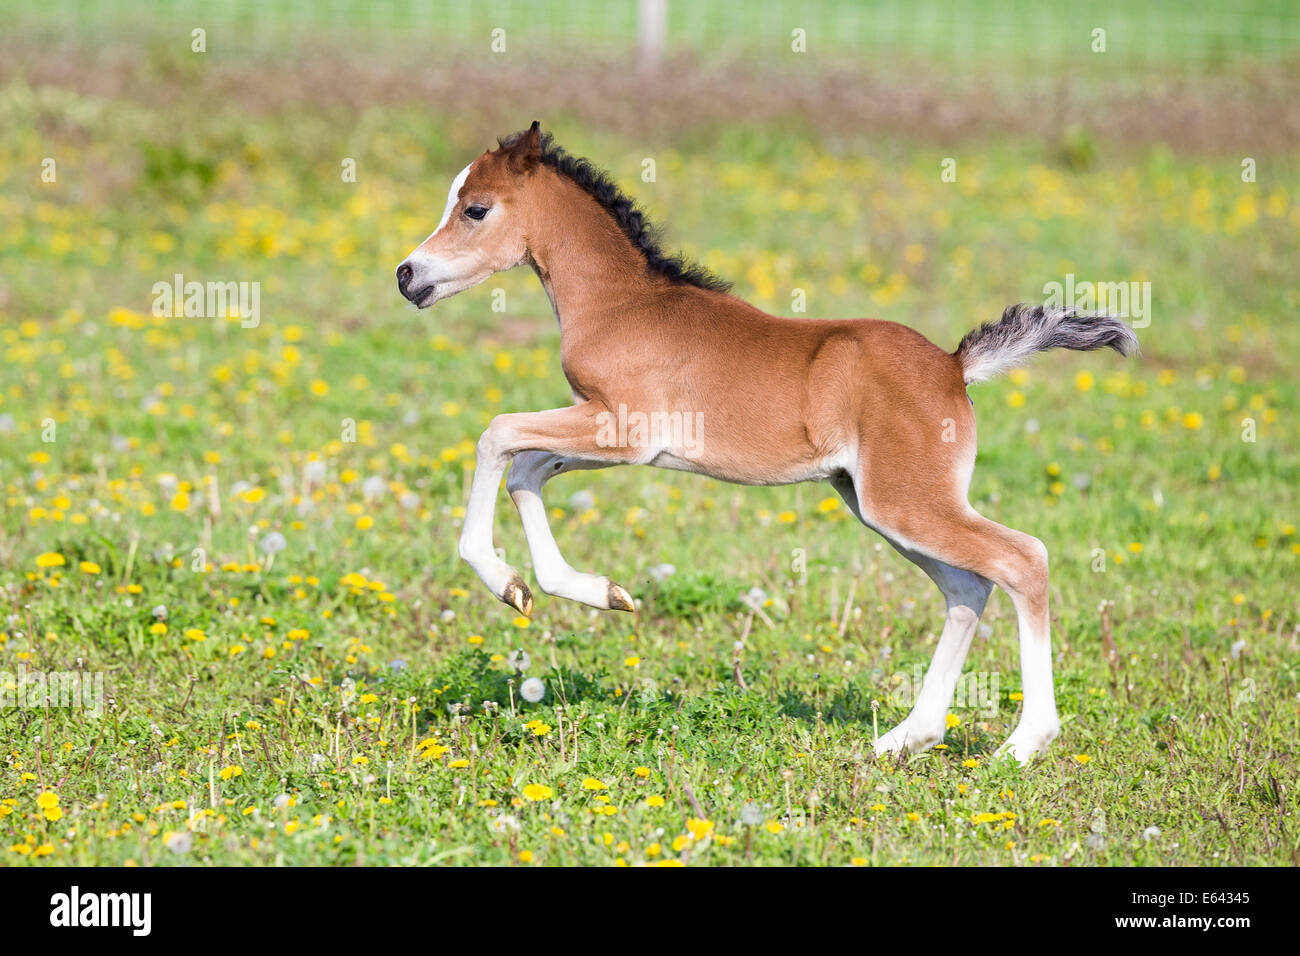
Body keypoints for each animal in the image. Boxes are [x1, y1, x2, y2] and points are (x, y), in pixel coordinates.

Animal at [395, 122, 1138, 762]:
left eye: (475, 209)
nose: (407, 275)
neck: (620, 303)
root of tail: (954, 367)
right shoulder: (612, 434)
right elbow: (526, 470)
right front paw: (582, 591)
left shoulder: (624, 429)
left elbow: (496, 436)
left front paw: (508, 580)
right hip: (879, 503)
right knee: (966, 588)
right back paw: (905, 737)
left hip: (907, 502)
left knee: (1022, 560)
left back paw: (1023, 743)